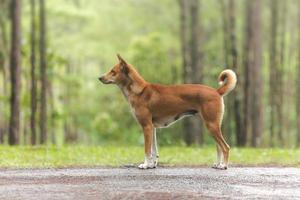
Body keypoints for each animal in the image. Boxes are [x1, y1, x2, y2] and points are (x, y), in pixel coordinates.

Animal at [99, 55, 237, 170]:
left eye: (113, 71)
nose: (100, 77)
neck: (139, 91)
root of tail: (217, 91)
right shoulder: (152, 128)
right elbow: (154, 151)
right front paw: (152, 165)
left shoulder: (146, 127)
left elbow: (147, 150)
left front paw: (145, 165)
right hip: (212, 125)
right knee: (219, 147)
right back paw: (217, 164)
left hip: (211, 125)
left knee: (225, 147)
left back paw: (224, 165)